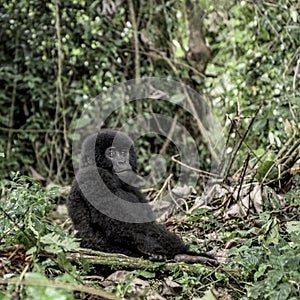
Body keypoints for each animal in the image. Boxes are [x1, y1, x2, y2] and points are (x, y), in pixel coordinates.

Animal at [68, 130, 218, 264]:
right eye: (111, 153)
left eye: (123, 153)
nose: (122, 161)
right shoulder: (94, 176)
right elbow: (119, 224)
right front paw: (161, 250)